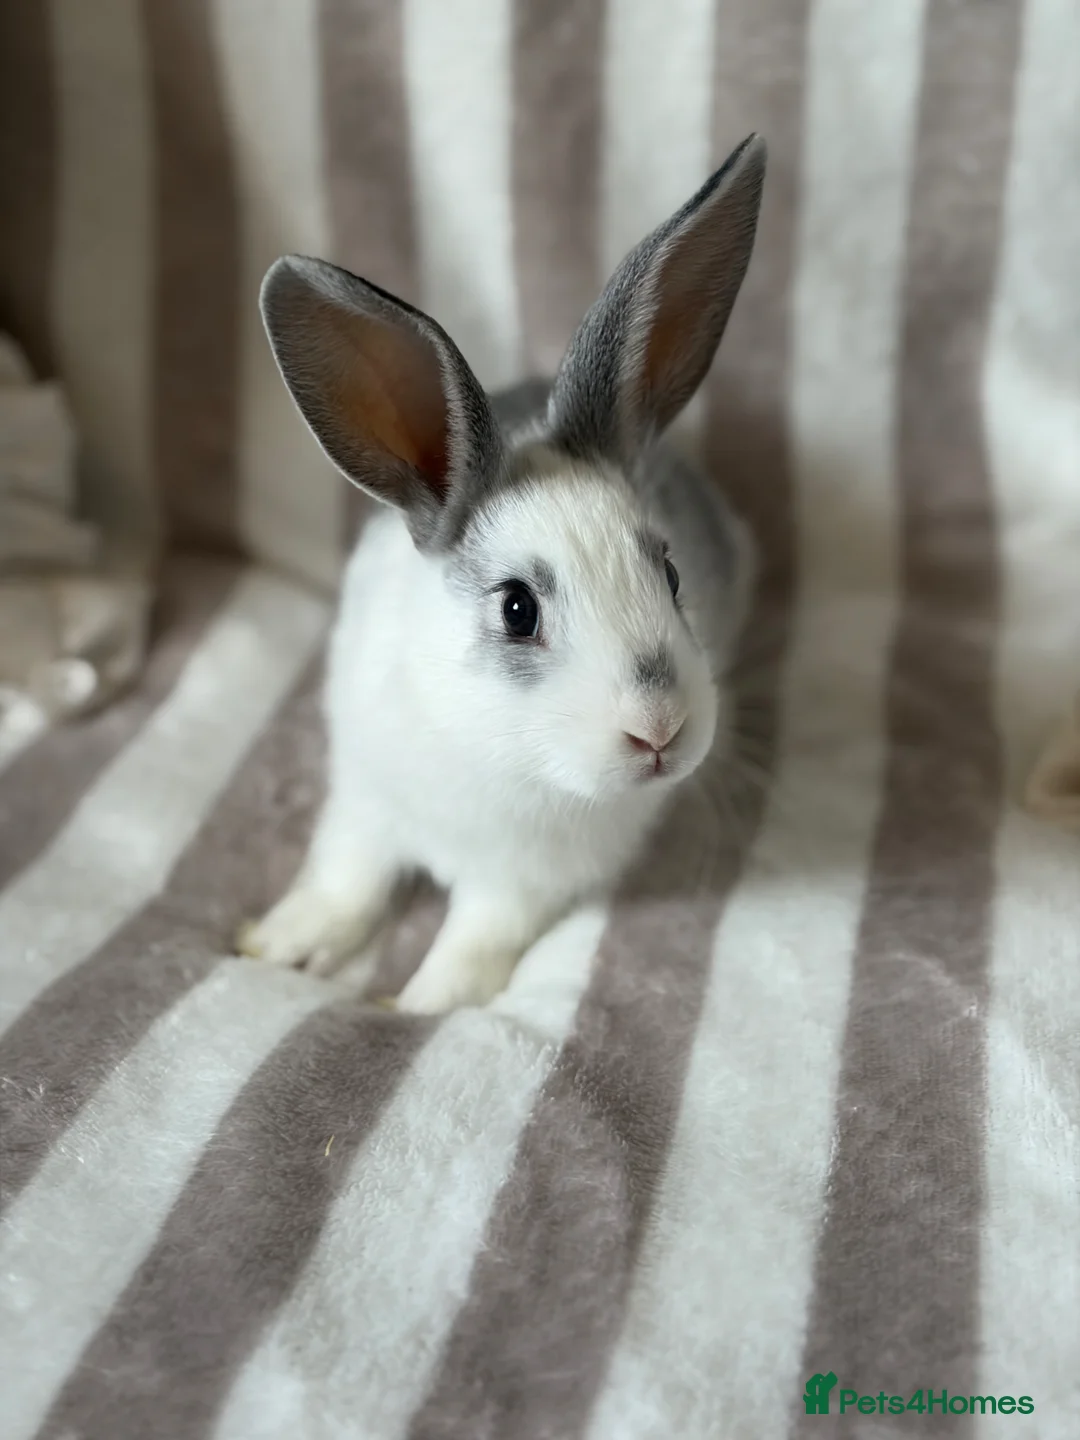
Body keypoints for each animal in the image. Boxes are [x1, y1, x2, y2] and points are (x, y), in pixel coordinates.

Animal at [237, 133, 766, 1013]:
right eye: (518, 609)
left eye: (670, 573)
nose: (660, 732)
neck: (497, 747)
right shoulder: (364, 804)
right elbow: (346, 885)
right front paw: (279, 945)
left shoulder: (518, 889)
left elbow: (467, 952)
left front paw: (411, 1007)